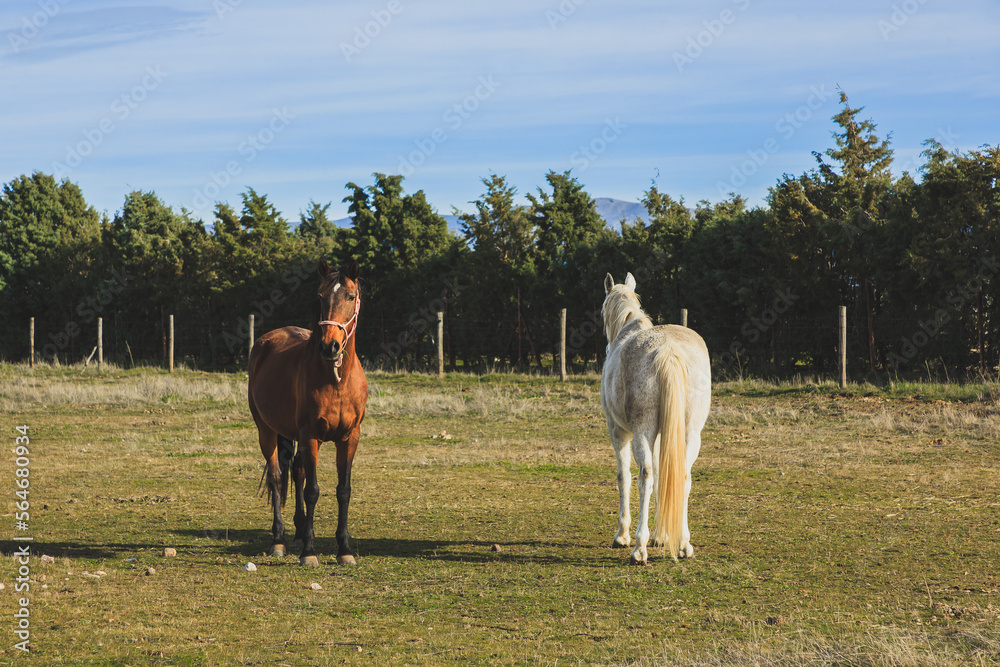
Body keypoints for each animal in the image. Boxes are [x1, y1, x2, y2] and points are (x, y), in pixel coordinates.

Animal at [248, 258, 370, 568]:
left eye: (350, 296)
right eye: (320, 296)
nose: (329, 346)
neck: (336, 379)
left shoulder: (350, 438)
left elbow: (343, 490)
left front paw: (344, 549)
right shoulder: (310, 436)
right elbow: (312, 491)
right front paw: (310, 552)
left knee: (297, 471)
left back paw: (299, 533)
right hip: (267, 431)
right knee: (278, 476)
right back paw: (279, 540)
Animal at [600, 272, 712, 564]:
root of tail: (668, 350)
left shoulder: (617, 431)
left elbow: (624, 477)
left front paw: (622, 535)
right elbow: (666, 474)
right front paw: (661, 536)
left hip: (641, 431)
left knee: (645, 475)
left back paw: (639, 548)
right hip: (689, 434)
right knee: (682, 476)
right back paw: (683, 544)